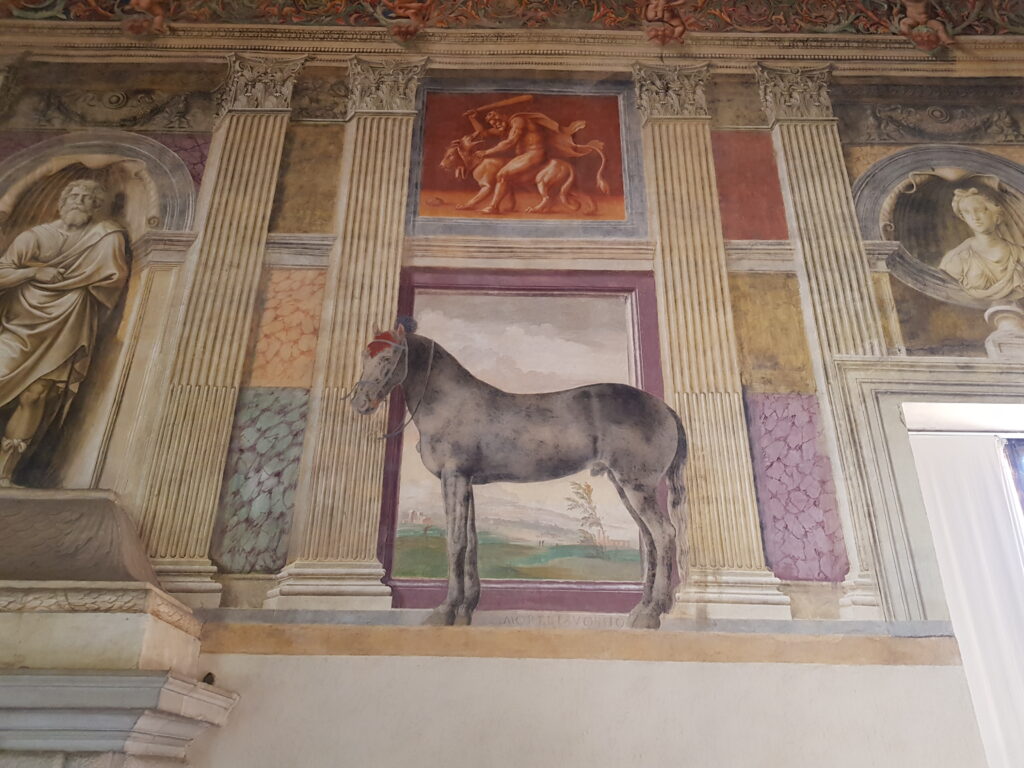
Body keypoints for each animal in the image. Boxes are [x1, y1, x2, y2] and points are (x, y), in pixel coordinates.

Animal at [352, 319, 688, 630]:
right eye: (365, 354)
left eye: (388, 357)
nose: (360, 402)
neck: (450, 404)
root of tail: (666, 409)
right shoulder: (467, 482)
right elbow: (472, 542)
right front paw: (466, 610)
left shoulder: (454, 477)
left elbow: (456, 541)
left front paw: (445, 611)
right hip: (625, 487)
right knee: (649, 539)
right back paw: (640, 609)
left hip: (637, 487)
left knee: (664, 534)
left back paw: (652, 613)